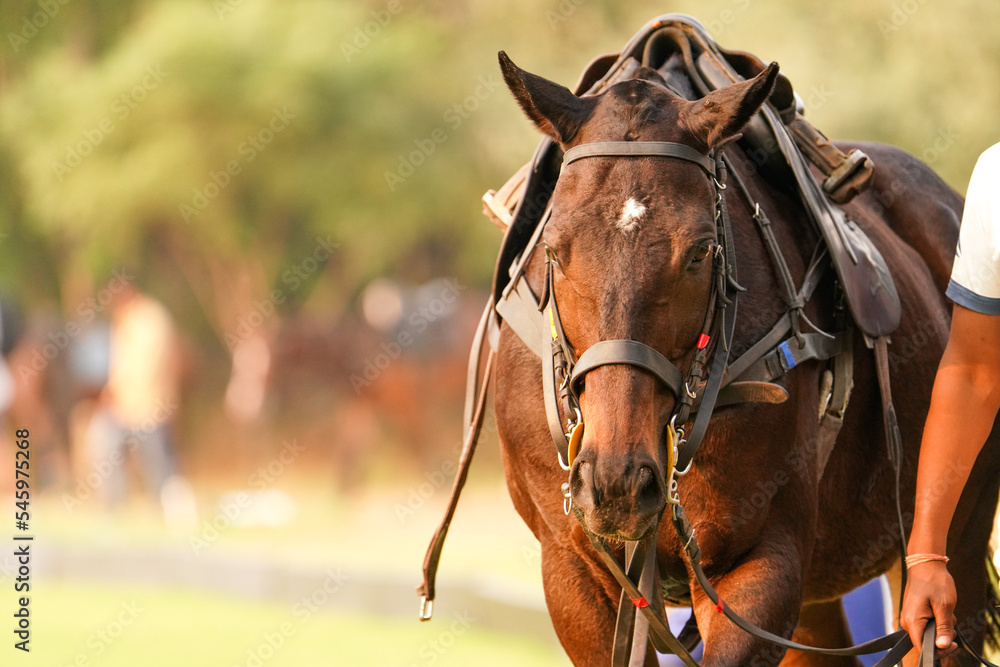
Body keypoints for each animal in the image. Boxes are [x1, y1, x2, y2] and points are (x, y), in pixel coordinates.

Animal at [490, 42, 1000, 667]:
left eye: (701, 251)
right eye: (555, 250)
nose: (617, 481)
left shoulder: (760, 564)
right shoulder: (573, 575)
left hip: (952, 549)